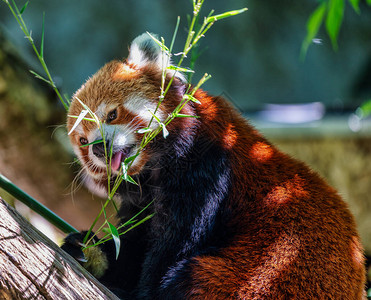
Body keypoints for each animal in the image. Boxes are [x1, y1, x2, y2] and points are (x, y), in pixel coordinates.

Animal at [62, 33, 368, 300]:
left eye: (112, 114)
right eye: (83, 141)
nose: (98, 147)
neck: (154, 167)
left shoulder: (208, 170)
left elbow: (173, 246)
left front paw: (139, 294)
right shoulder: (142, 201)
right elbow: (134, 244)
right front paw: (92, 253)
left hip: (270, 272)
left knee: (197, 275)